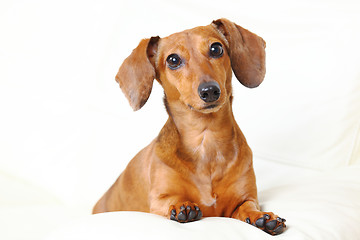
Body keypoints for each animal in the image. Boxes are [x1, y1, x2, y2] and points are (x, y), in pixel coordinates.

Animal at [93, 18, 286, 234]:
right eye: (173, 60)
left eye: (216, 48)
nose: (210, 91)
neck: (206, 139)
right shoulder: (158, 201)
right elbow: (172, 200)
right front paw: (182, 206)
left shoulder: (245, 198)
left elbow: (248, 206)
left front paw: (262, 217)